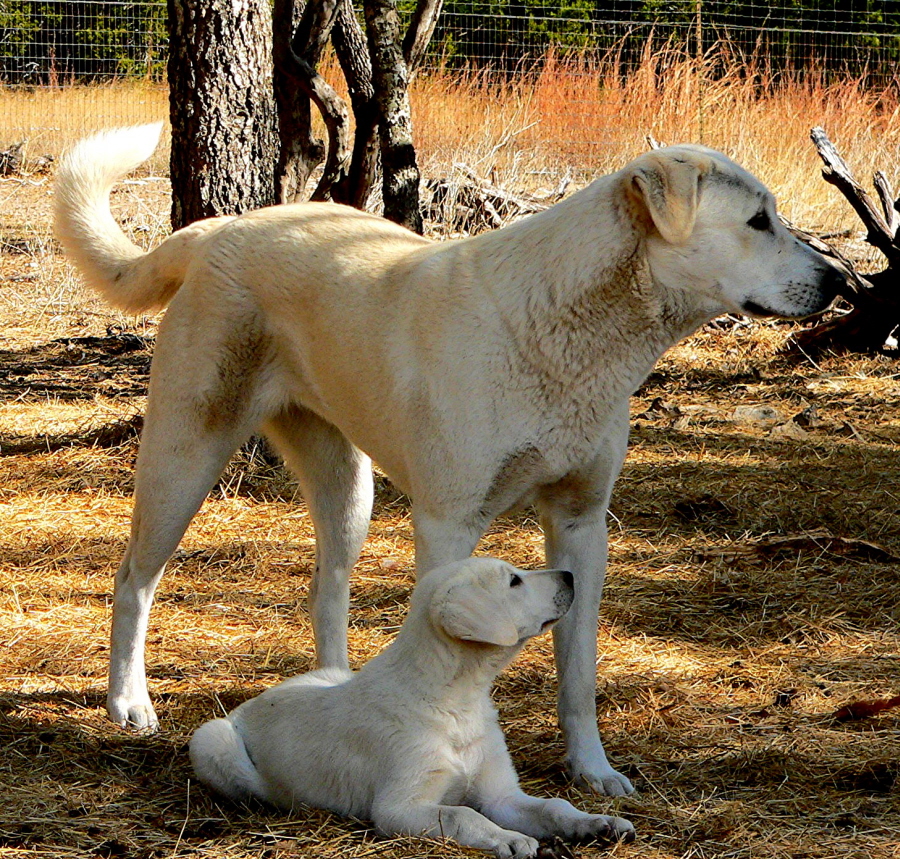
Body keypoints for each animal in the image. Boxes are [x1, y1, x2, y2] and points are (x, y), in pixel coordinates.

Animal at [56, 124, 844, 796]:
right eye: (758, 222)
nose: (841, 281)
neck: (568, 330)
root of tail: (219, 229)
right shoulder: (450, 523)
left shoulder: (583, 524)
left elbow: (578, 672)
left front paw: (592, 770)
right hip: (186, 456)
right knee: (133, 579)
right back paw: (129, 702)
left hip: (348, 489)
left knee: (326, 589)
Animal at [192, 556, 632, 856]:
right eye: (514, 580)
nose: (571, 575)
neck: (456, 702)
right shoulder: (399, 807)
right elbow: (463, 814)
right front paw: (509, 839)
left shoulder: (501, 796)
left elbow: (554, 805)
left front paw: (595, 822)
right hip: (210, 740)